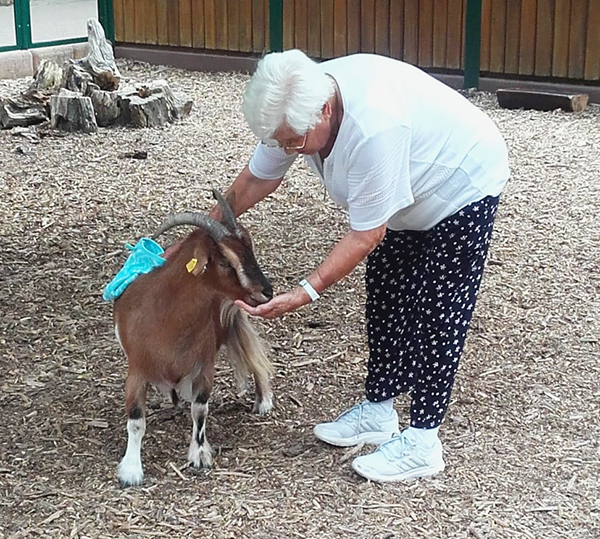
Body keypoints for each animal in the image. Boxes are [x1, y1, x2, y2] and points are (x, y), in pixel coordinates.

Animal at [112, 191, 272, 490]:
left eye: (251, 250)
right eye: (225, 262)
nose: (266, 291)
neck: (164, 317)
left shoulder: (204, 366)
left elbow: (200, 410)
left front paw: (199, 456)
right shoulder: (136, 369)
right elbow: (136, 421)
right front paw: (131, 470)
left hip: (235, 317)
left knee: (252, 354)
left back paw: (263, 401)